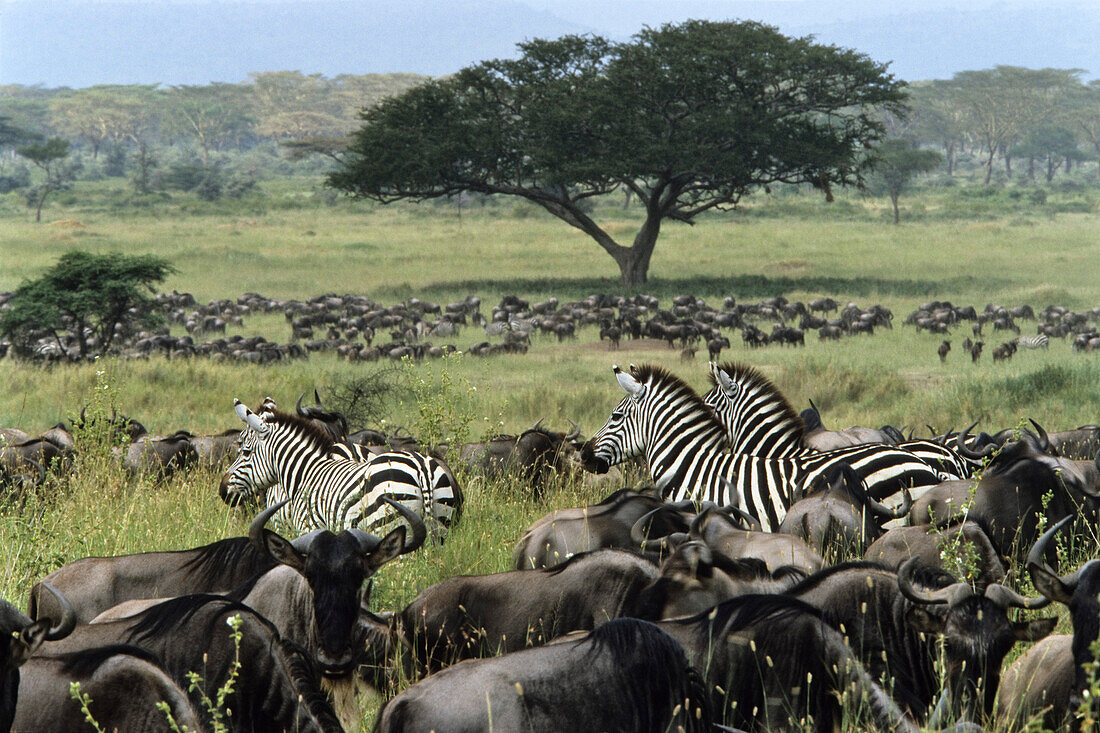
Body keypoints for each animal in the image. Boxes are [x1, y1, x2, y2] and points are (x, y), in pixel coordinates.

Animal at [221, 400, 462, 537]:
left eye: (245, 452)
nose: (223, 491)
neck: (306, 471)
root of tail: (422, 469)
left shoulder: (306, 528)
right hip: (442, 525)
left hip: (386, 525)